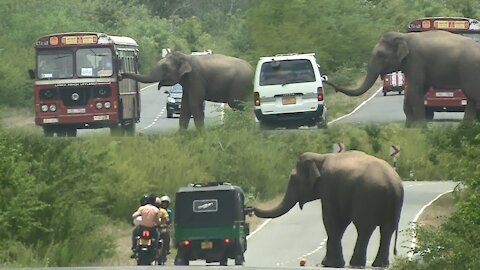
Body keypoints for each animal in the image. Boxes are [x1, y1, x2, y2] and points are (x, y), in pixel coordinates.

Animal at [122, 52, 253, 130]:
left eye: (165, 67)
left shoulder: (196, 78)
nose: (121, 75)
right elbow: (185, 106)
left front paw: (201, 134)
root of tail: (252, 69)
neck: (185, 57)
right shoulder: (188, 84)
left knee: (237, 105)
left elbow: (194, 104)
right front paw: (181, 135)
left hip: (239, 85)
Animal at [324, 30, 480, 127]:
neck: (403, 36)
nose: (326, 80)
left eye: (380, 54)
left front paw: (420, 128)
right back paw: (465, 127)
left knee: (473, 95)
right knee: (471, 98)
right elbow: (415, 90)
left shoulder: (415, 60)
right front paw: (409, 126)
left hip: (470, 70)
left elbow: (415, 89)